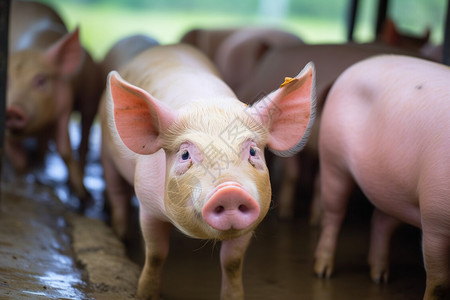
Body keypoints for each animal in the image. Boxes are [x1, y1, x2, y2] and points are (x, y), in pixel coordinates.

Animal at [7, 0, 103, 202]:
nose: (12, 109)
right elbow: (16, 156)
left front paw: (84, 195)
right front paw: (24, 175)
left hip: (91, 100)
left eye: (41, 80)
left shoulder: (66, 104)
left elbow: (64, 148)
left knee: (84, 136)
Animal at [100, 43, 314, 298]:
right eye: (185, 155)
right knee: (116, 191)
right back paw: (120, 235)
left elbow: (232, 262)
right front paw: (146, 294)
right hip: (106, 153)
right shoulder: (147, 203)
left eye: (253, 152)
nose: (230, 190)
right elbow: (156, 254)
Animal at [312, 54, 450, 300]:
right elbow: (439, 281)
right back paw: (322, 272)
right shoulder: (435, 214)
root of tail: (353, 68)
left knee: (381, 220)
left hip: (396, 193)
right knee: (333, 216)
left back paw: (380, 277)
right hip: (332, 156)